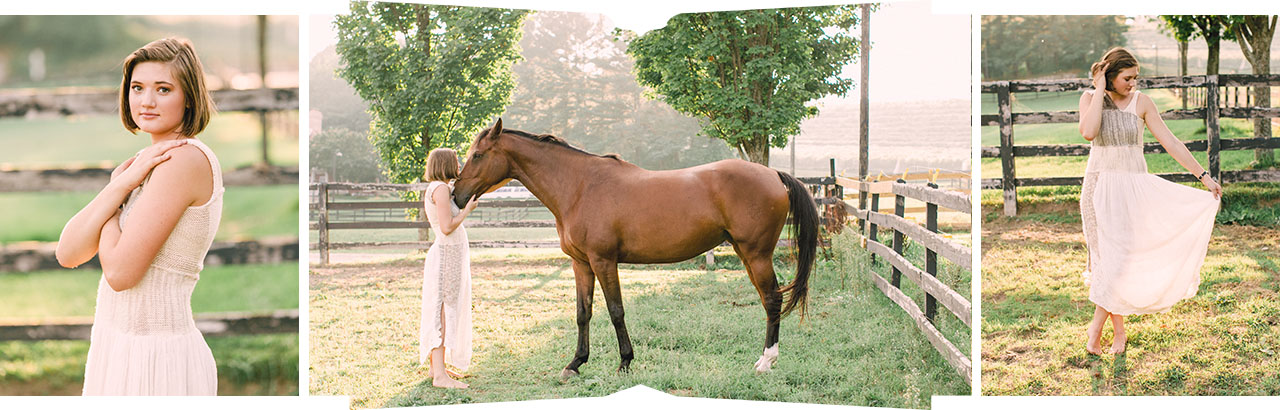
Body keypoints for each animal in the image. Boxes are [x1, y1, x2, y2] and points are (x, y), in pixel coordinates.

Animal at [453, 119, 818, 379]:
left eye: (478, 155)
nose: (456, 195)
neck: (579, 186)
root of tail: (773, 174)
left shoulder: (603, 261)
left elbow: (616, 310)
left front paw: (625, 362)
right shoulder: (581, 264)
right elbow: (583, 313)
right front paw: (575, 363)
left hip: (757, 255)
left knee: (772, 300)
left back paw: (766, 361)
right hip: (746, 255)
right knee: (768, 300)